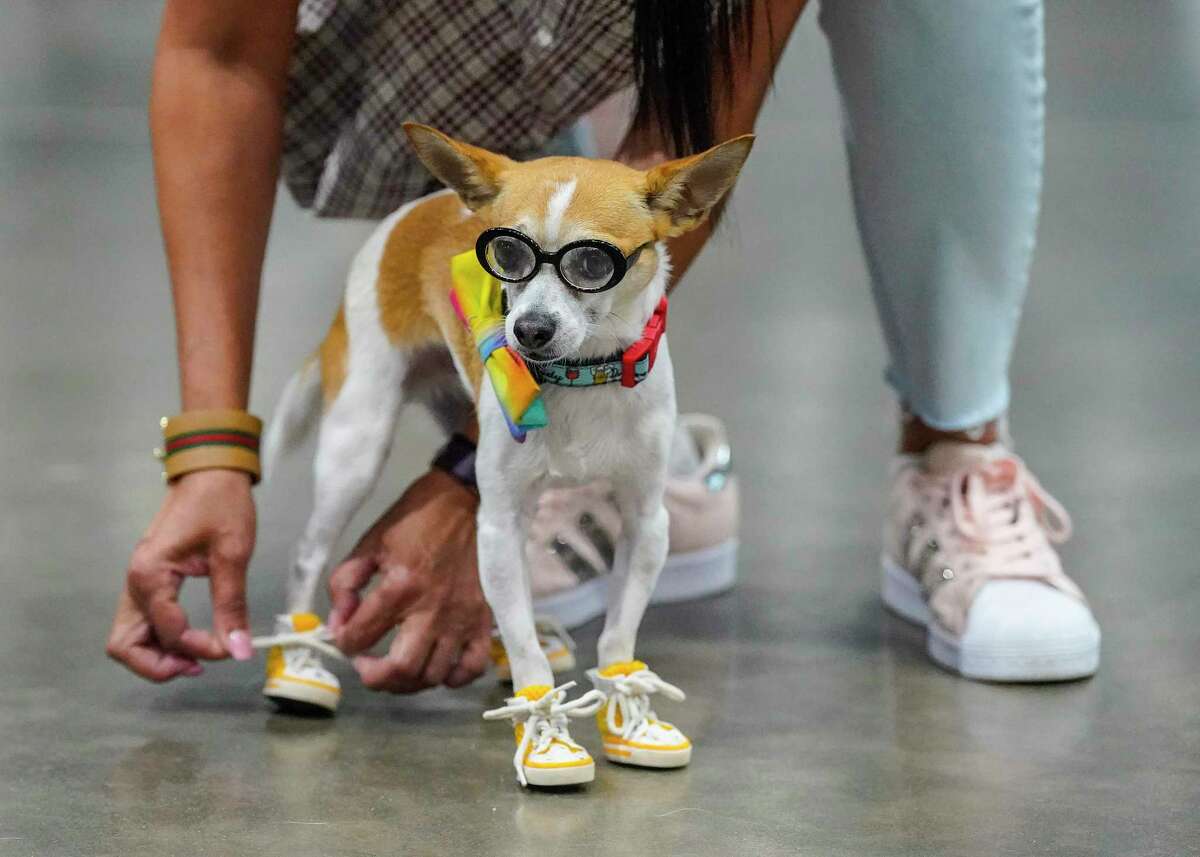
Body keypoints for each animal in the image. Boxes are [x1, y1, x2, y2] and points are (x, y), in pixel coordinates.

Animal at [260, 123, 748, 782]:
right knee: (308, 554)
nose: (529, 330)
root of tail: (424, 205)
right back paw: (298, 663)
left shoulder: (646, 525)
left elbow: (618, 636)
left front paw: (627, 716)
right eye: (509, 258)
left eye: (592, 264)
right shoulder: (499, 525)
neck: (580, 377)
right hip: (355, 444)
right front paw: (544, 730)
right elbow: (524, 652)